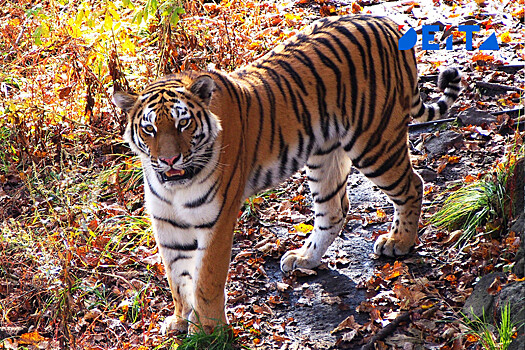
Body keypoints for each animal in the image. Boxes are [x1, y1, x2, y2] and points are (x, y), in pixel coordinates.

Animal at [113, 15, 458, 334]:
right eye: (149, 129)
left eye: (183, 123)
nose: (169, 159)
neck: (175, 187)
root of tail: (386, 21)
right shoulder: (167, 223)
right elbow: (177, 278)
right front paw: (180, 320)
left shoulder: (217, 220)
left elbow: (205, 280)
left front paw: (207, 332)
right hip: (324, 155)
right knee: (334, 210)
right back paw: (305, 259)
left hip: (375, 141)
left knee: (412, 185)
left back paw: (398, 242)